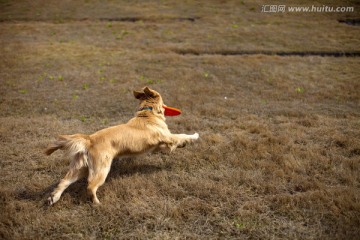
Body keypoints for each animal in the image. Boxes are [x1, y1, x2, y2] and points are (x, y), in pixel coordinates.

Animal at [45, 87, 200, 205]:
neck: (148, 113)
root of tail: (89, 139)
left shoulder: (158, 146)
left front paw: (183, 145)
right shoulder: (168, 136)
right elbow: (181, 135)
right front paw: (194, 136)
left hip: (80, 168)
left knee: (64, 181)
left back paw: (53, 198)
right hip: (101, 168)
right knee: (90, 186)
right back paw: (97, 204)